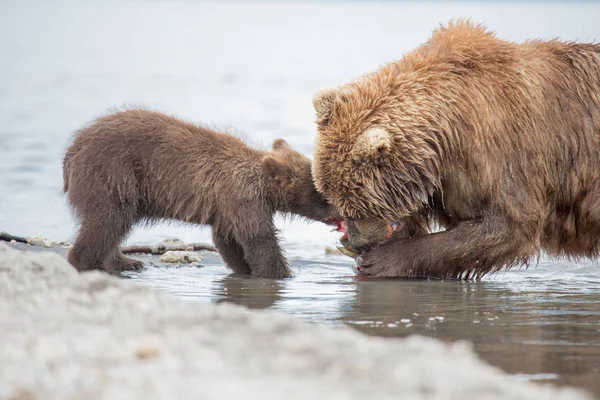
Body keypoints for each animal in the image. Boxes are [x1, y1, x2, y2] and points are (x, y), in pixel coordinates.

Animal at [312, 20, 600, 280]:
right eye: (334, 199)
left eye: (358, 209)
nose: (358, 244)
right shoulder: (443, 174)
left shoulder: (504, 150)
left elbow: (509, 226)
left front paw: (382, 260)